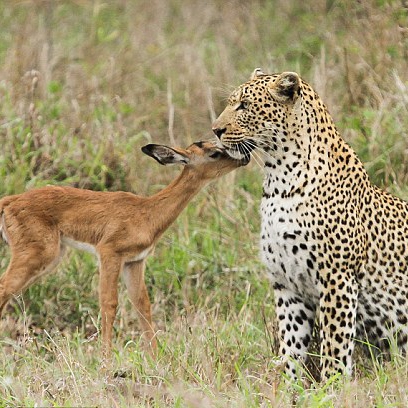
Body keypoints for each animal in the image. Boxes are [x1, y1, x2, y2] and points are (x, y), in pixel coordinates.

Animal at [210, 69, 408, 380]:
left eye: (244, 105)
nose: (215, 130)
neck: (278, 180)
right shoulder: (286, 284)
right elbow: (291, 344)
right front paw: (289, 384)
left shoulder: (337, 279)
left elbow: (334, 345)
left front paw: (332, 385)